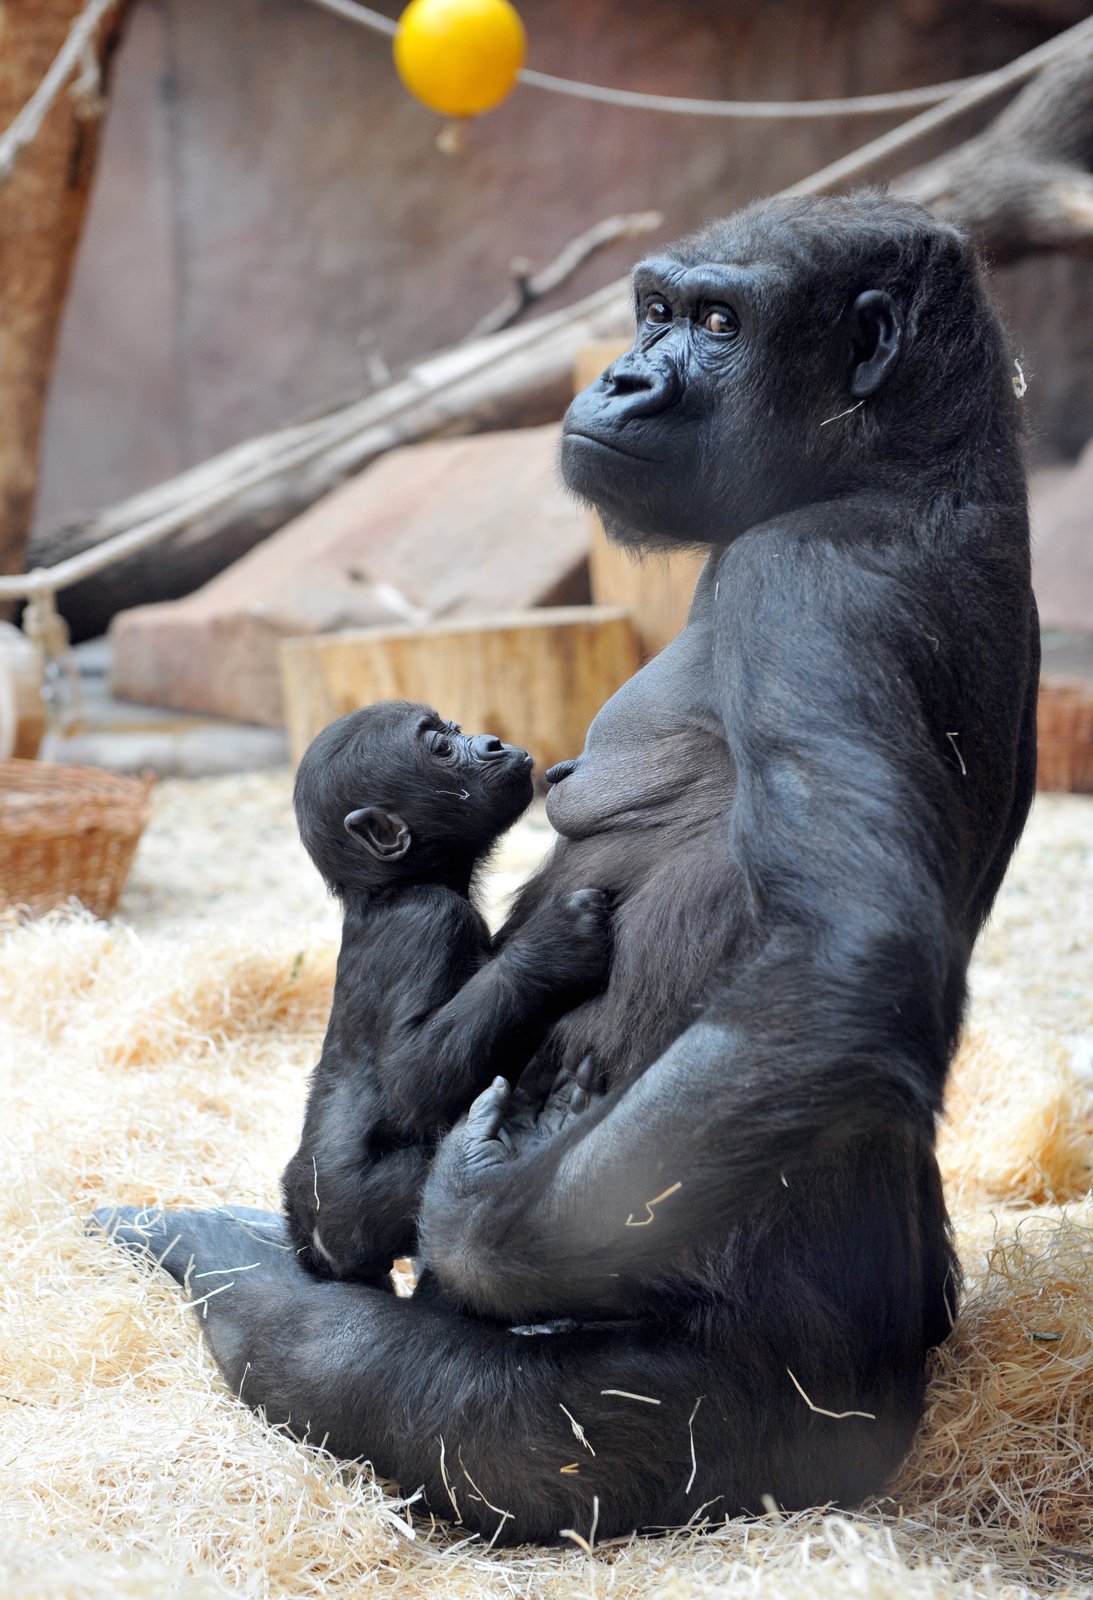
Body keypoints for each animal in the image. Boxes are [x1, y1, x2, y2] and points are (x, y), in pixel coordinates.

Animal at [278, 707, 611, 1280]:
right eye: (441, 749)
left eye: (452, 729)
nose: (492, 742)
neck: (389, 887)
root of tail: (314, 1245)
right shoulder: (433, 922)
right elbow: (414, 1078)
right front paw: (553, 946)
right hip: (353, 1217)